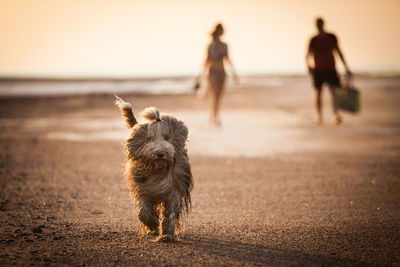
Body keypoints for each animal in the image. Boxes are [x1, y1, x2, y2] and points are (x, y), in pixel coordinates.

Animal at [114, 96, 194, 243]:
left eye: (167, 137)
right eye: (149, 139)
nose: (160, 153)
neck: (157, 171)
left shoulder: (174, 190)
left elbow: (170, 212)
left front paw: (167, 234)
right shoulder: (140, 187)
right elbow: (143, 210)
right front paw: (152, 224)